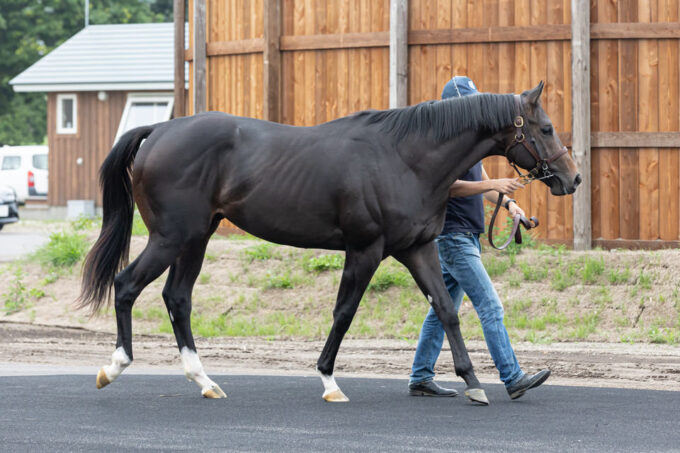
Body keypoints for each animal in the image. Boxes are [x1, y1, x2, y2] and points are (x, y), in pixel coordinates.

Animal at [78, 81, 580, 402]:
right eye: (547, 128)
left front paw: (474, 383)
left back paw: (205, 381)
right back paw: (114, 366)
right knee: (127, 285)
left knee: (177, 298)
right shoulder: (365, 251)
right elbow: (344, 313)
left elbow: (446, 310)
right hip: (171, 237)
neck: (403, 158)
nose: (572, 178)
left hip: (196, 239)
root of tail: (158, 131)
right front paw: (329, 382)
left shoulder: (416, 249)